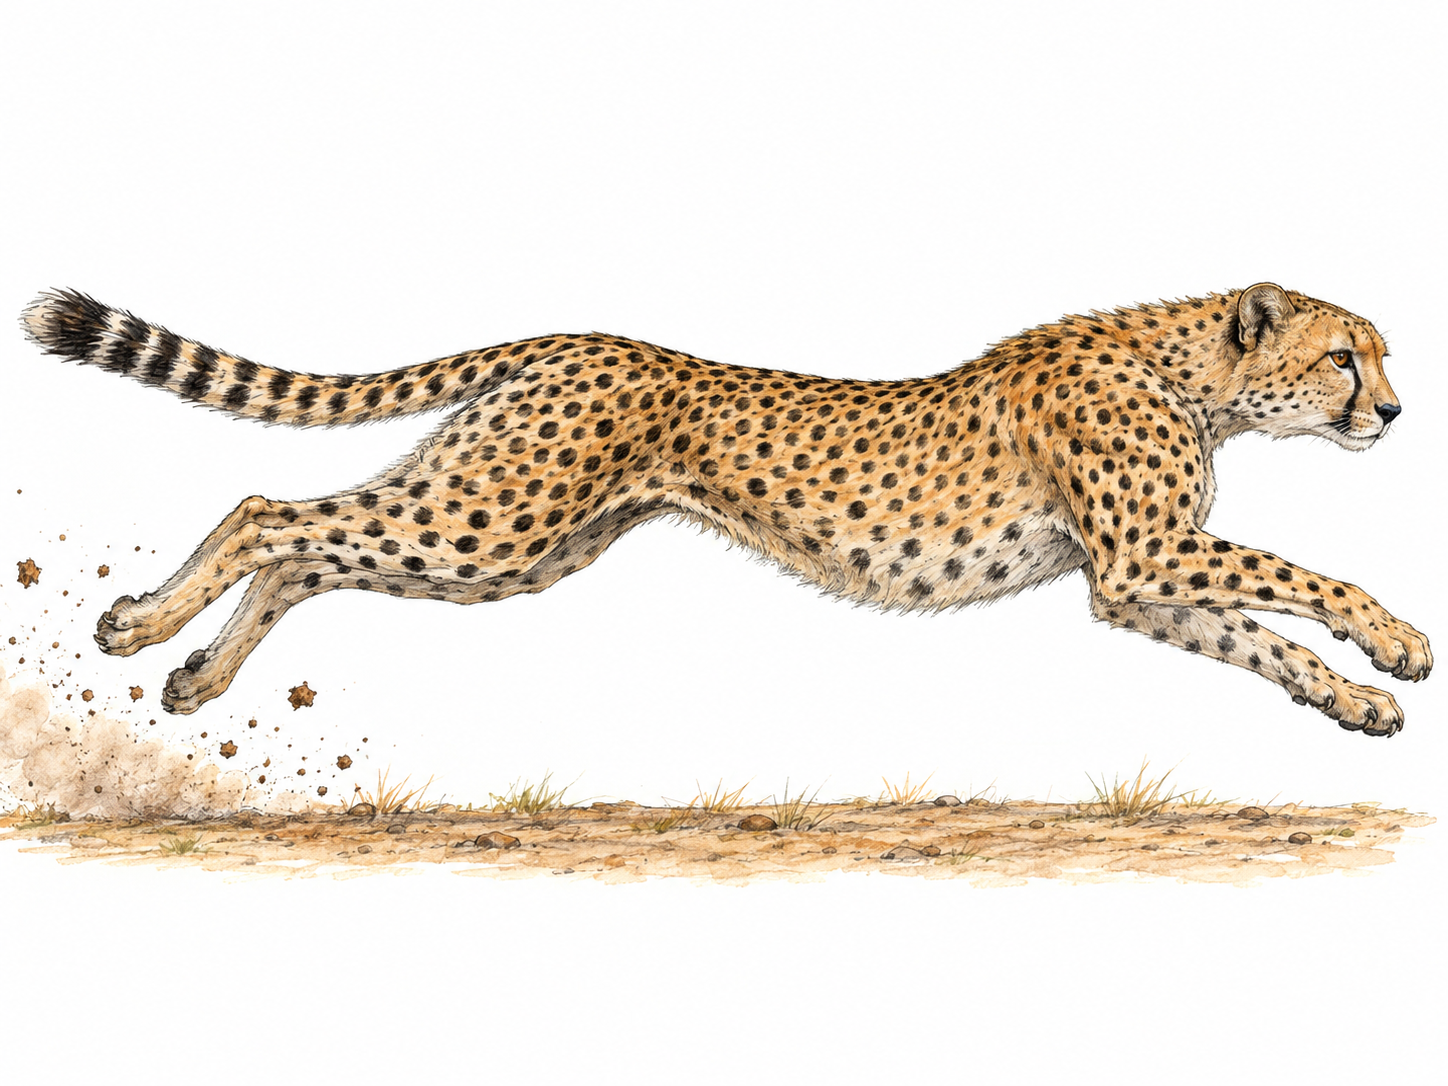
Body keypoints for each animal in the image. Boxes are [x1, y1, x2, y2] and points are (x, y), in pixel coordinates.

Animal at [19, 284, 1432, 732]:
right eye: (1342, 359)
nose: (1394, 413)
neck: (1195, 373)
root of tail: (575, 336)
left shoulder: (1133, 584)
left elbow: (1258, 638)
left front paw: (1354, 700)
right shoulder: (1147, 554)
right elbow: (1306, 579)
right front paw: (1398, 646)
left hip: (502, 534)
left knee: (308, 549)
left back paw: (189, 673)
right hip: (494, 516)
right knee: (270, 510)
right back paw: (145, 630)